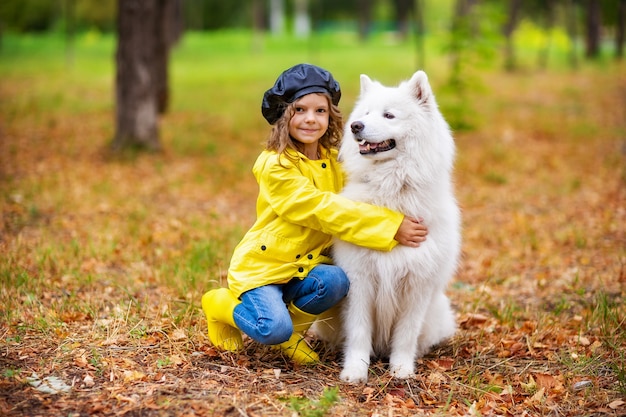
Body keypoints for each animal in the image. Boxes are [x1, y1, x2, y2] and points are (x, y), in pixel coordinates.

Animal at [314, 70, 460, 382]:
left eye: (389, 115)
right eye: (365, 114)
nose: (355, 126)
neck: (392, 189)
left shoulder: (417, 283)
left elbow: (406, 334)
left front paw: (401, 368)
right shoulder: (359, 279)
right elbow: (358, 332)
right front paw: (355, 370)